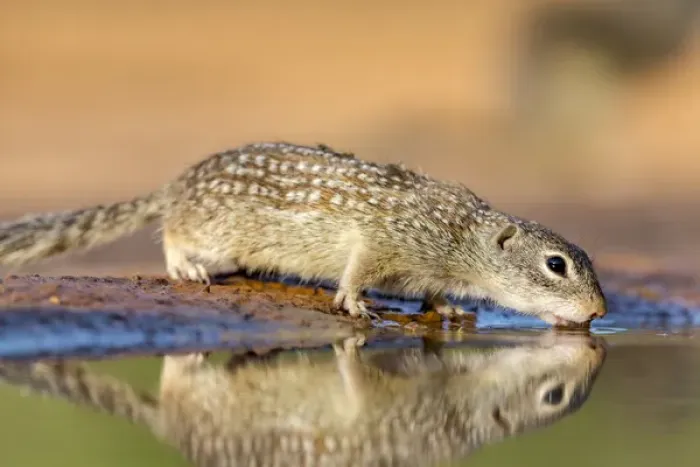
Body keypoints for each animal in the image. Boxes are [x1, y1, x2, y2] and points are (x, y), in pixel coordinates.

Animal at [0, 142, 607, 325]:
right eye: (556, 265)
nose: (601, 311)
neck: (461, 236)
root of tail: (177, 184)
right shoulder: (385, 240)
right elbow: (359, 269)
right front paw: (356, 302)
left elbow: (433, 294)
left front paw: (450, 308)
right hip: (208, 228)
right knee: (172, 232)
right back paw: (185, 265)